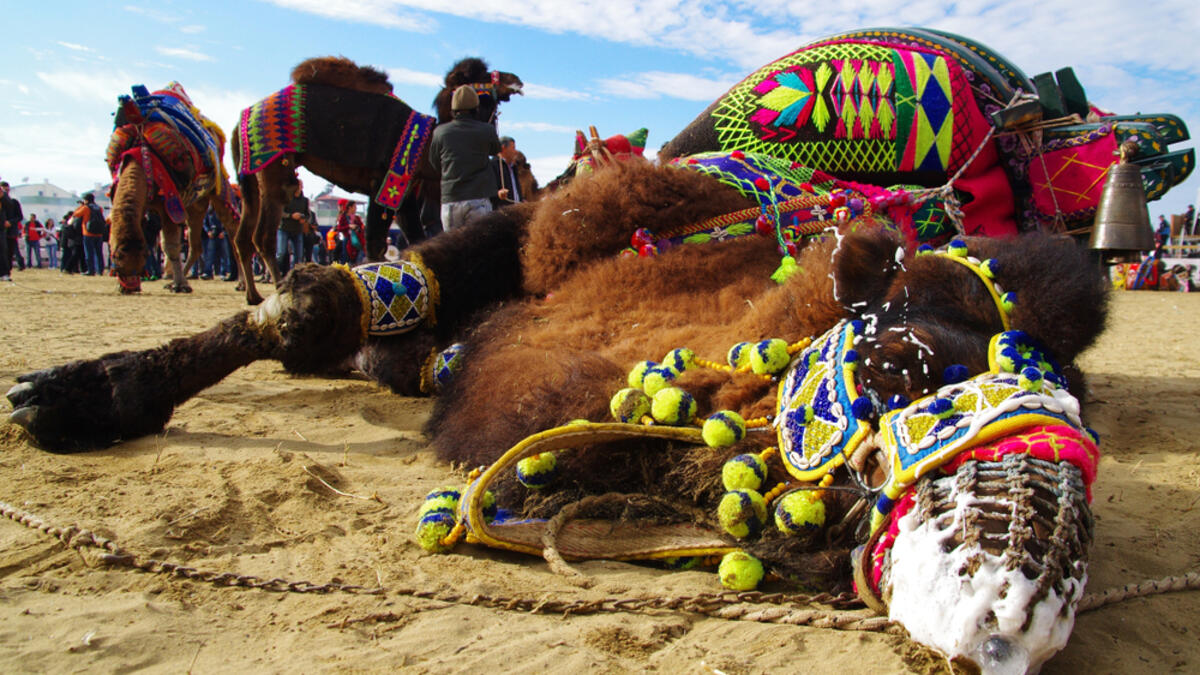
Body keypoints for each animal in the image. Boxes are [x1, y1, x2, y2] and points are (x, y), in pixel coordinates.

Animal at [104, 83, 239, 294]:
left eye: (140, 262)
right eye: (116, 259)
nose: (131, 287)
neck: (141, 156)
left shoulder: (170, 200)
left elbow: (171, 247)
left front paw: (180, 285)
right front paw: (177, 283)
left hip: (219, 185)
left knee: (233, 232)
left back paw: (241, 284)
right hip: (195, 204)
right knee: (195, 244)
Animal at [231, 56, 522, 306]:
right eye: (483, 75)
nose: (516, 79)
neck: (424, 144)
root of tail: (241, 120)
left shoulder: (402, 192)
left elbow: (412, 238)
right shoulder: (384, 182)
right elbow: (376, 242)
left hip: (251, 180)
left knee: (242, 237)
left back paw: (253, 295)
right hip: (274, 169)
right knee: (263, 236)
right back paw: (280, 288)